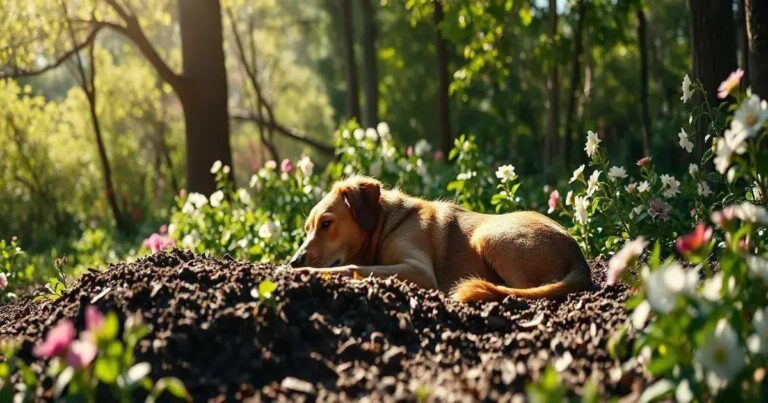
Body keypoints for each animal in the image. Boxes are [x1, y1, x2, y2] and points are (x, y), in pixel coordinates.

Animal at [290, 175, 592, 302]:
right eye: (306, 228)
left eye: (326, 224)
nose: (295, 261)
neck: (388, 223)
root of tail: (580, 262)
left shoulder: (419, 271)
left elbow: (354, 267)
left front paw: (307, 272)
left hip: (490, 234)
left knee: (522, 290)